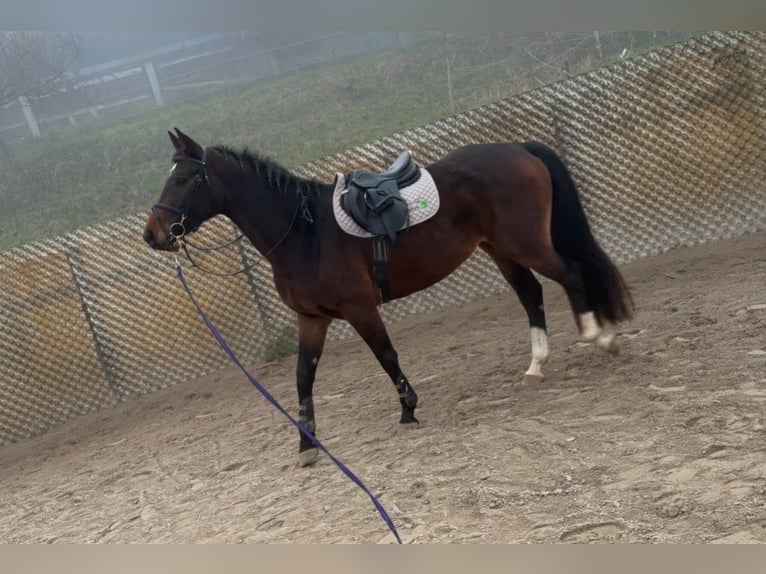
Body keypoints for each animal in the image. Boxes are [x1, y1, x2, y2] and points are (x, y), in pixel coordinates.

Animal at [144, 129, 636, 468]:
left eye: (183, 178)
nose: (152, 235)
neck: (303, 233)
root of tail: (518, 148)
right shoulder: (312, 319)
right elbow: (303, 378)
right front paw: (307, 445)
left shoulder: (359, 309)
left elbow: (385, 356)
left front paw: (408, 409)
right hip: (500, 248)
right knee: (531, 294)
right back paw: (537, 365)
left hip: (524, 243)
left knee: (572, 275)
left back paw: (600, 336)